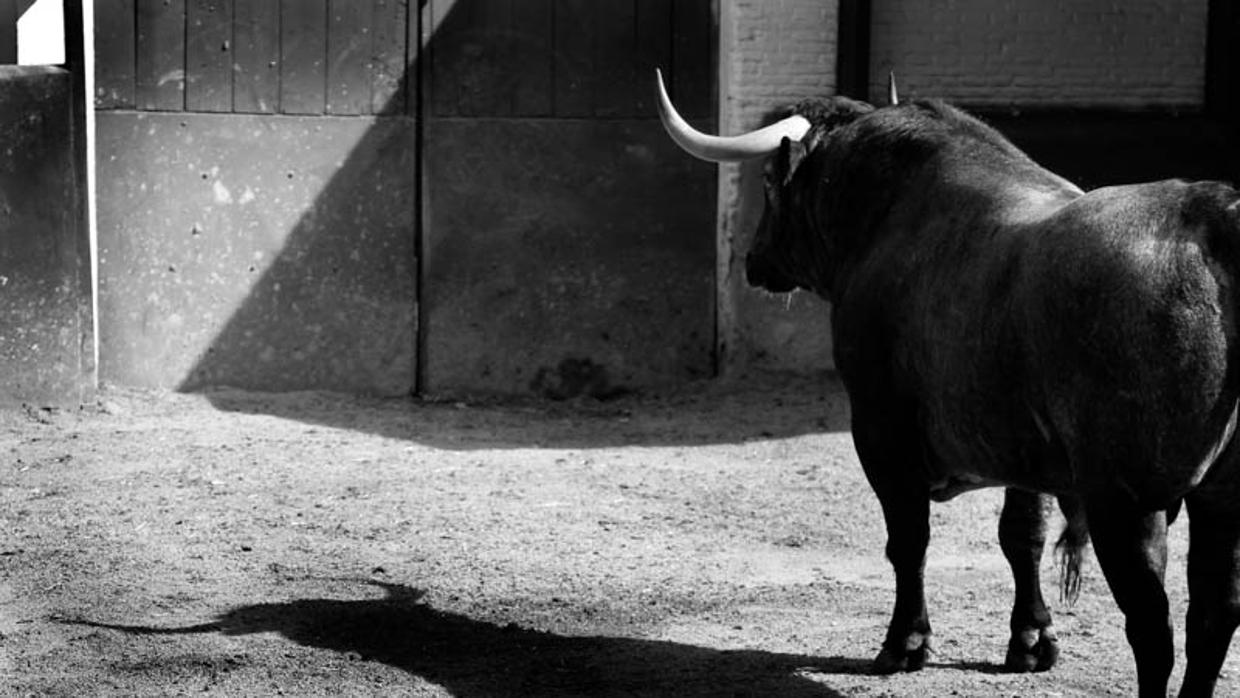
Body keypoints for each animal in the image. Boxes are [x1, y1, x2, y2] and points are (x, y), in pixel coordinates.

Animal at [664, 73, 1240, 694]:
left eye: (770, 182)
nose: (754, 260)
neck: (890, 209)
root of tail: (1215, 217)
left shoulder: (879, 430)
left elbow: (908, 539)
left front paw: (905, 642)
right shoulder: (1023, 447)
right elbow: (1022, 535)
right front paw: (1031, 639)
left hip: (1126, 501)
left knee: (1154, 626)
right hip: (1218, 498)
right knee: (1214, 613)